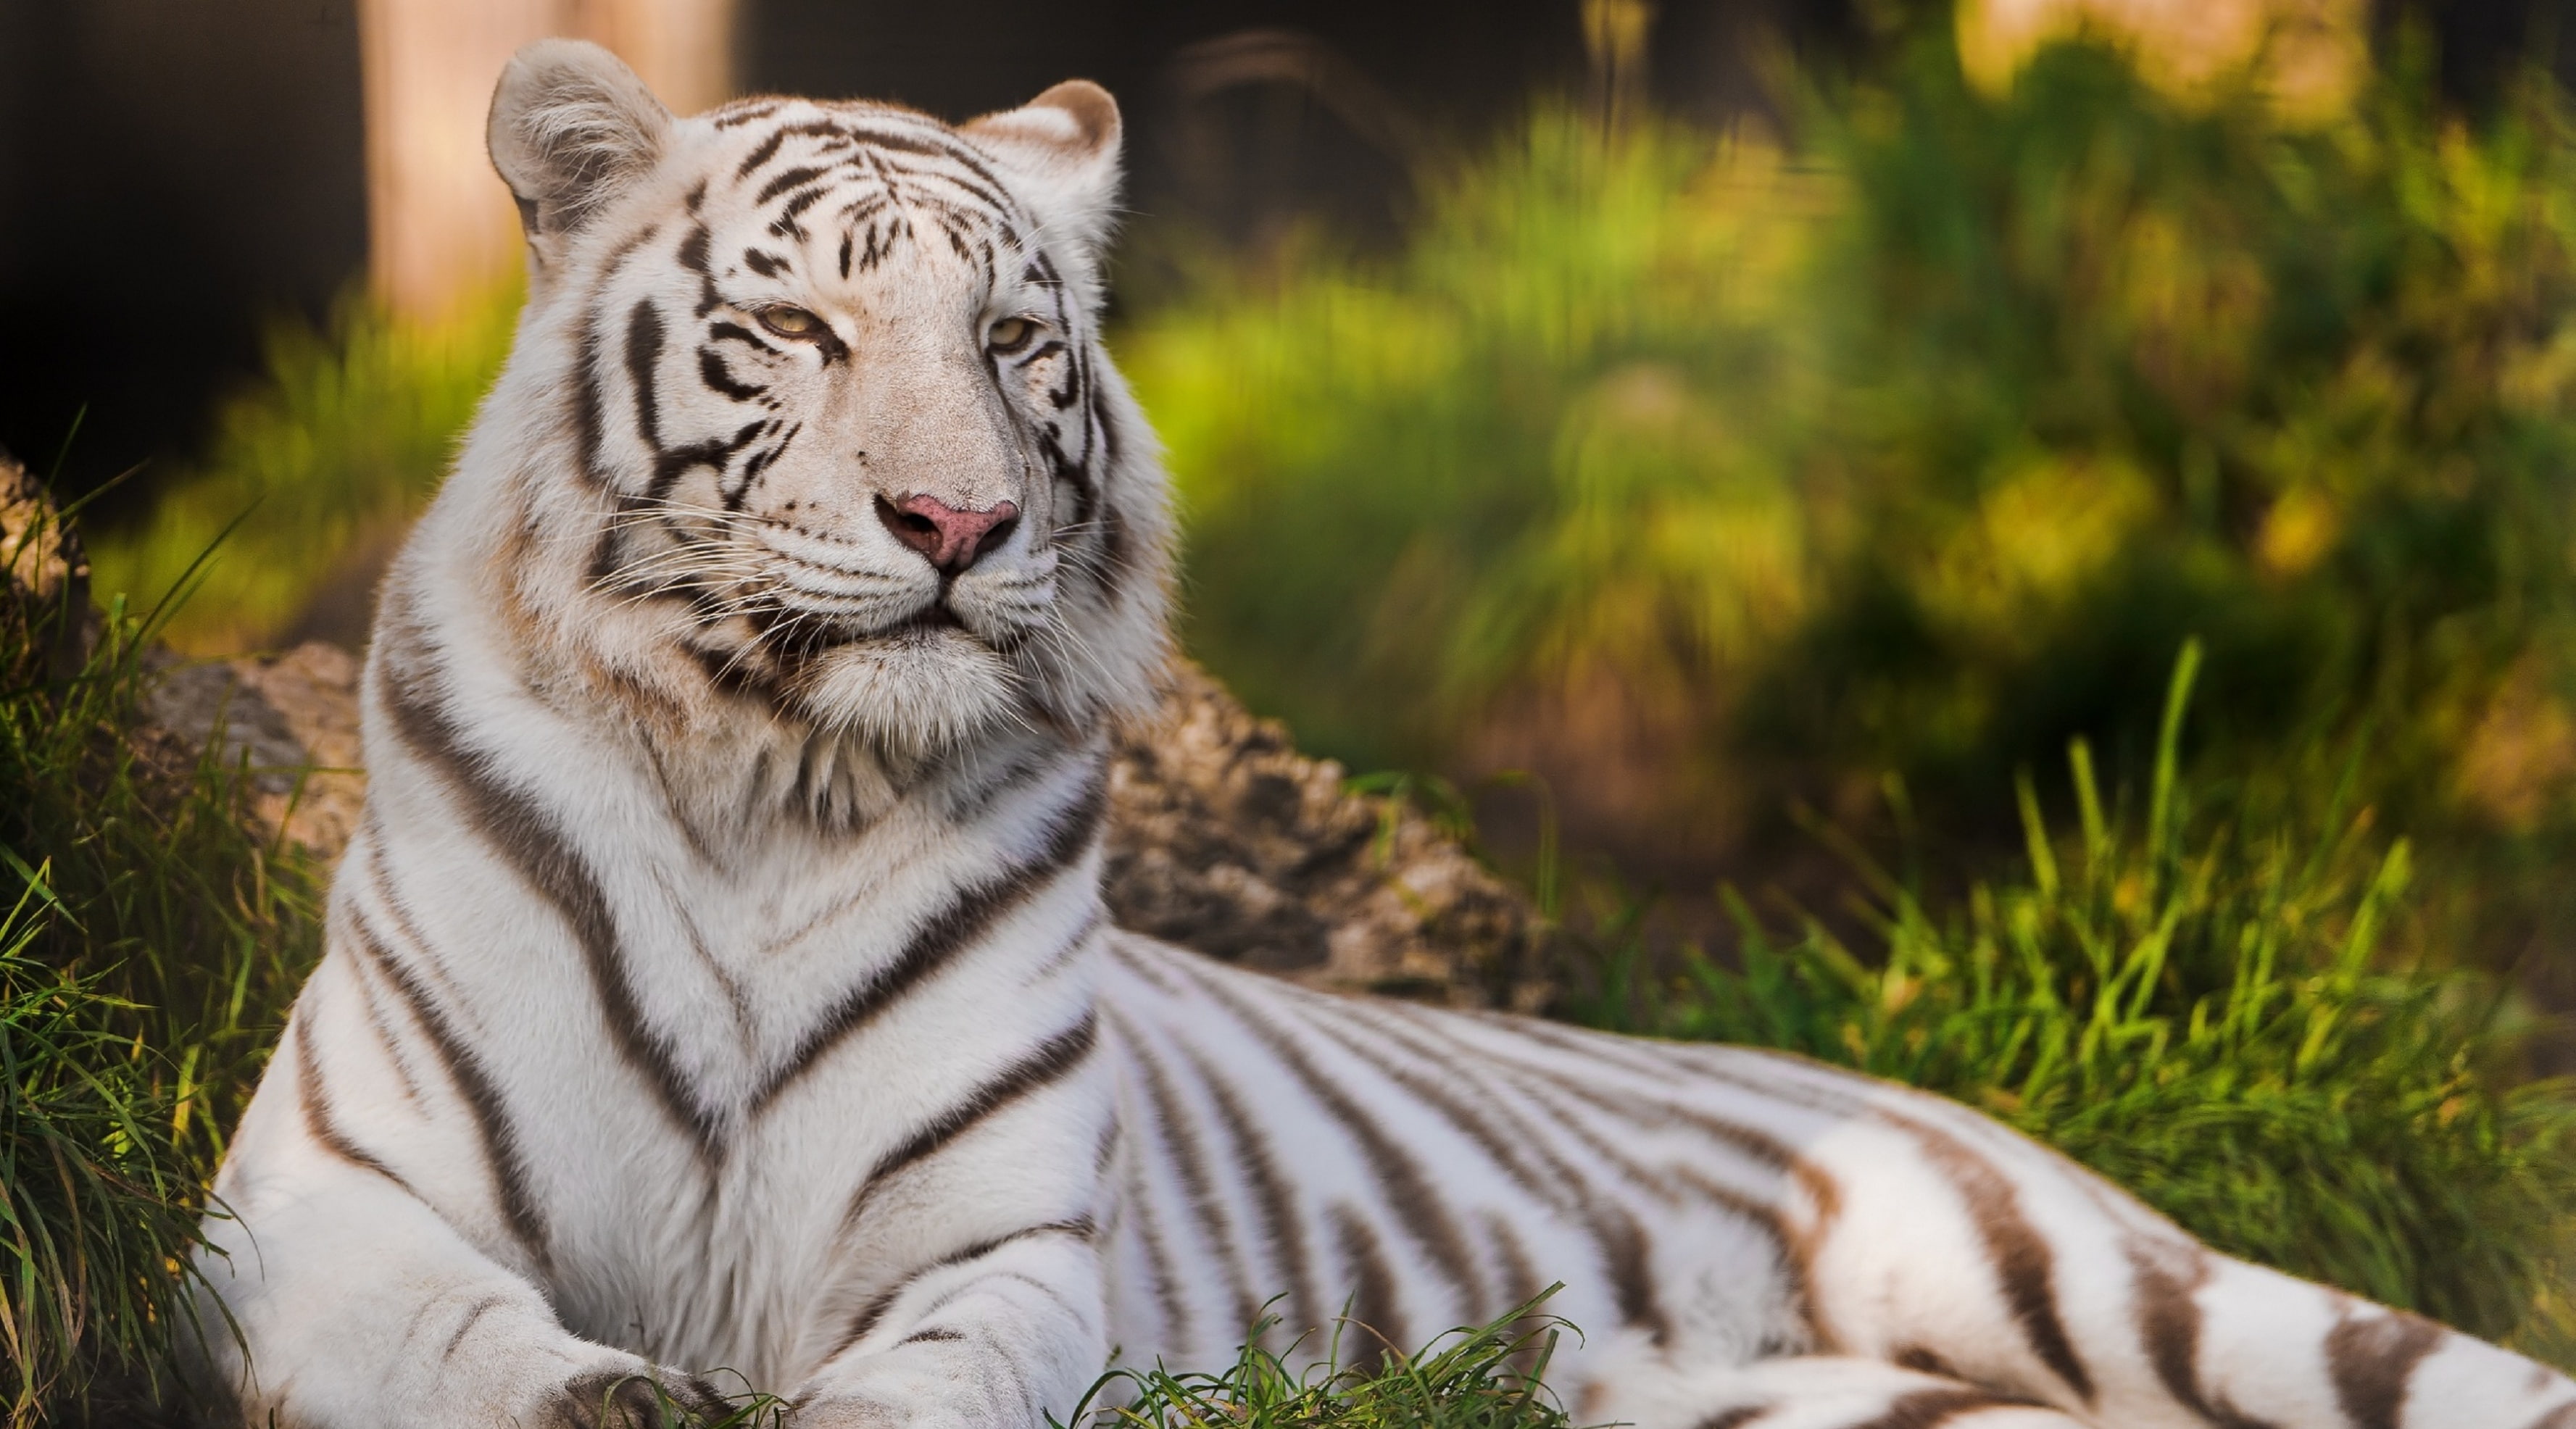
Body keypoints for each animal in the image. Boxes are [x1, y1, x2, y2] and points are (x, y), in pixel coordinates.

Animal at [185, 37, 2576, 1429]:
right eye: (798, 330)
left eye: (1015, 341)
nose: (956, 524)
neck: (771, 781)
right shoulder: (320, 1200)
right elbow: (471, 1346)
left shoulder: (1001, 1253)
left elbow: (916, 1386)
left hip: (2105, 1276)